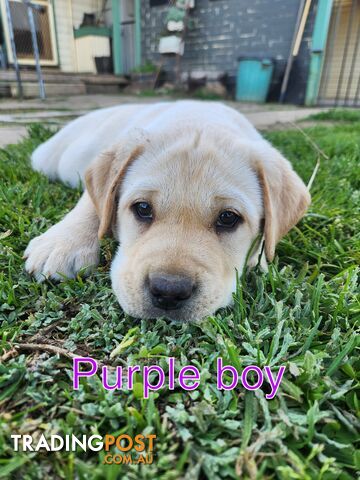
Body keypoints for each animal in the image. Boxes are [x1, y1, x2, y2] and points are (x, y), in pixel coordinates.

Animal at [25, 100, 310, 322]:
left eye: (228, 217)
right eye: (142, 208)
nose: (169, 291)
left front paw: (257, 259)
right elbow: (91, 204)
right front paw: (63, 243)